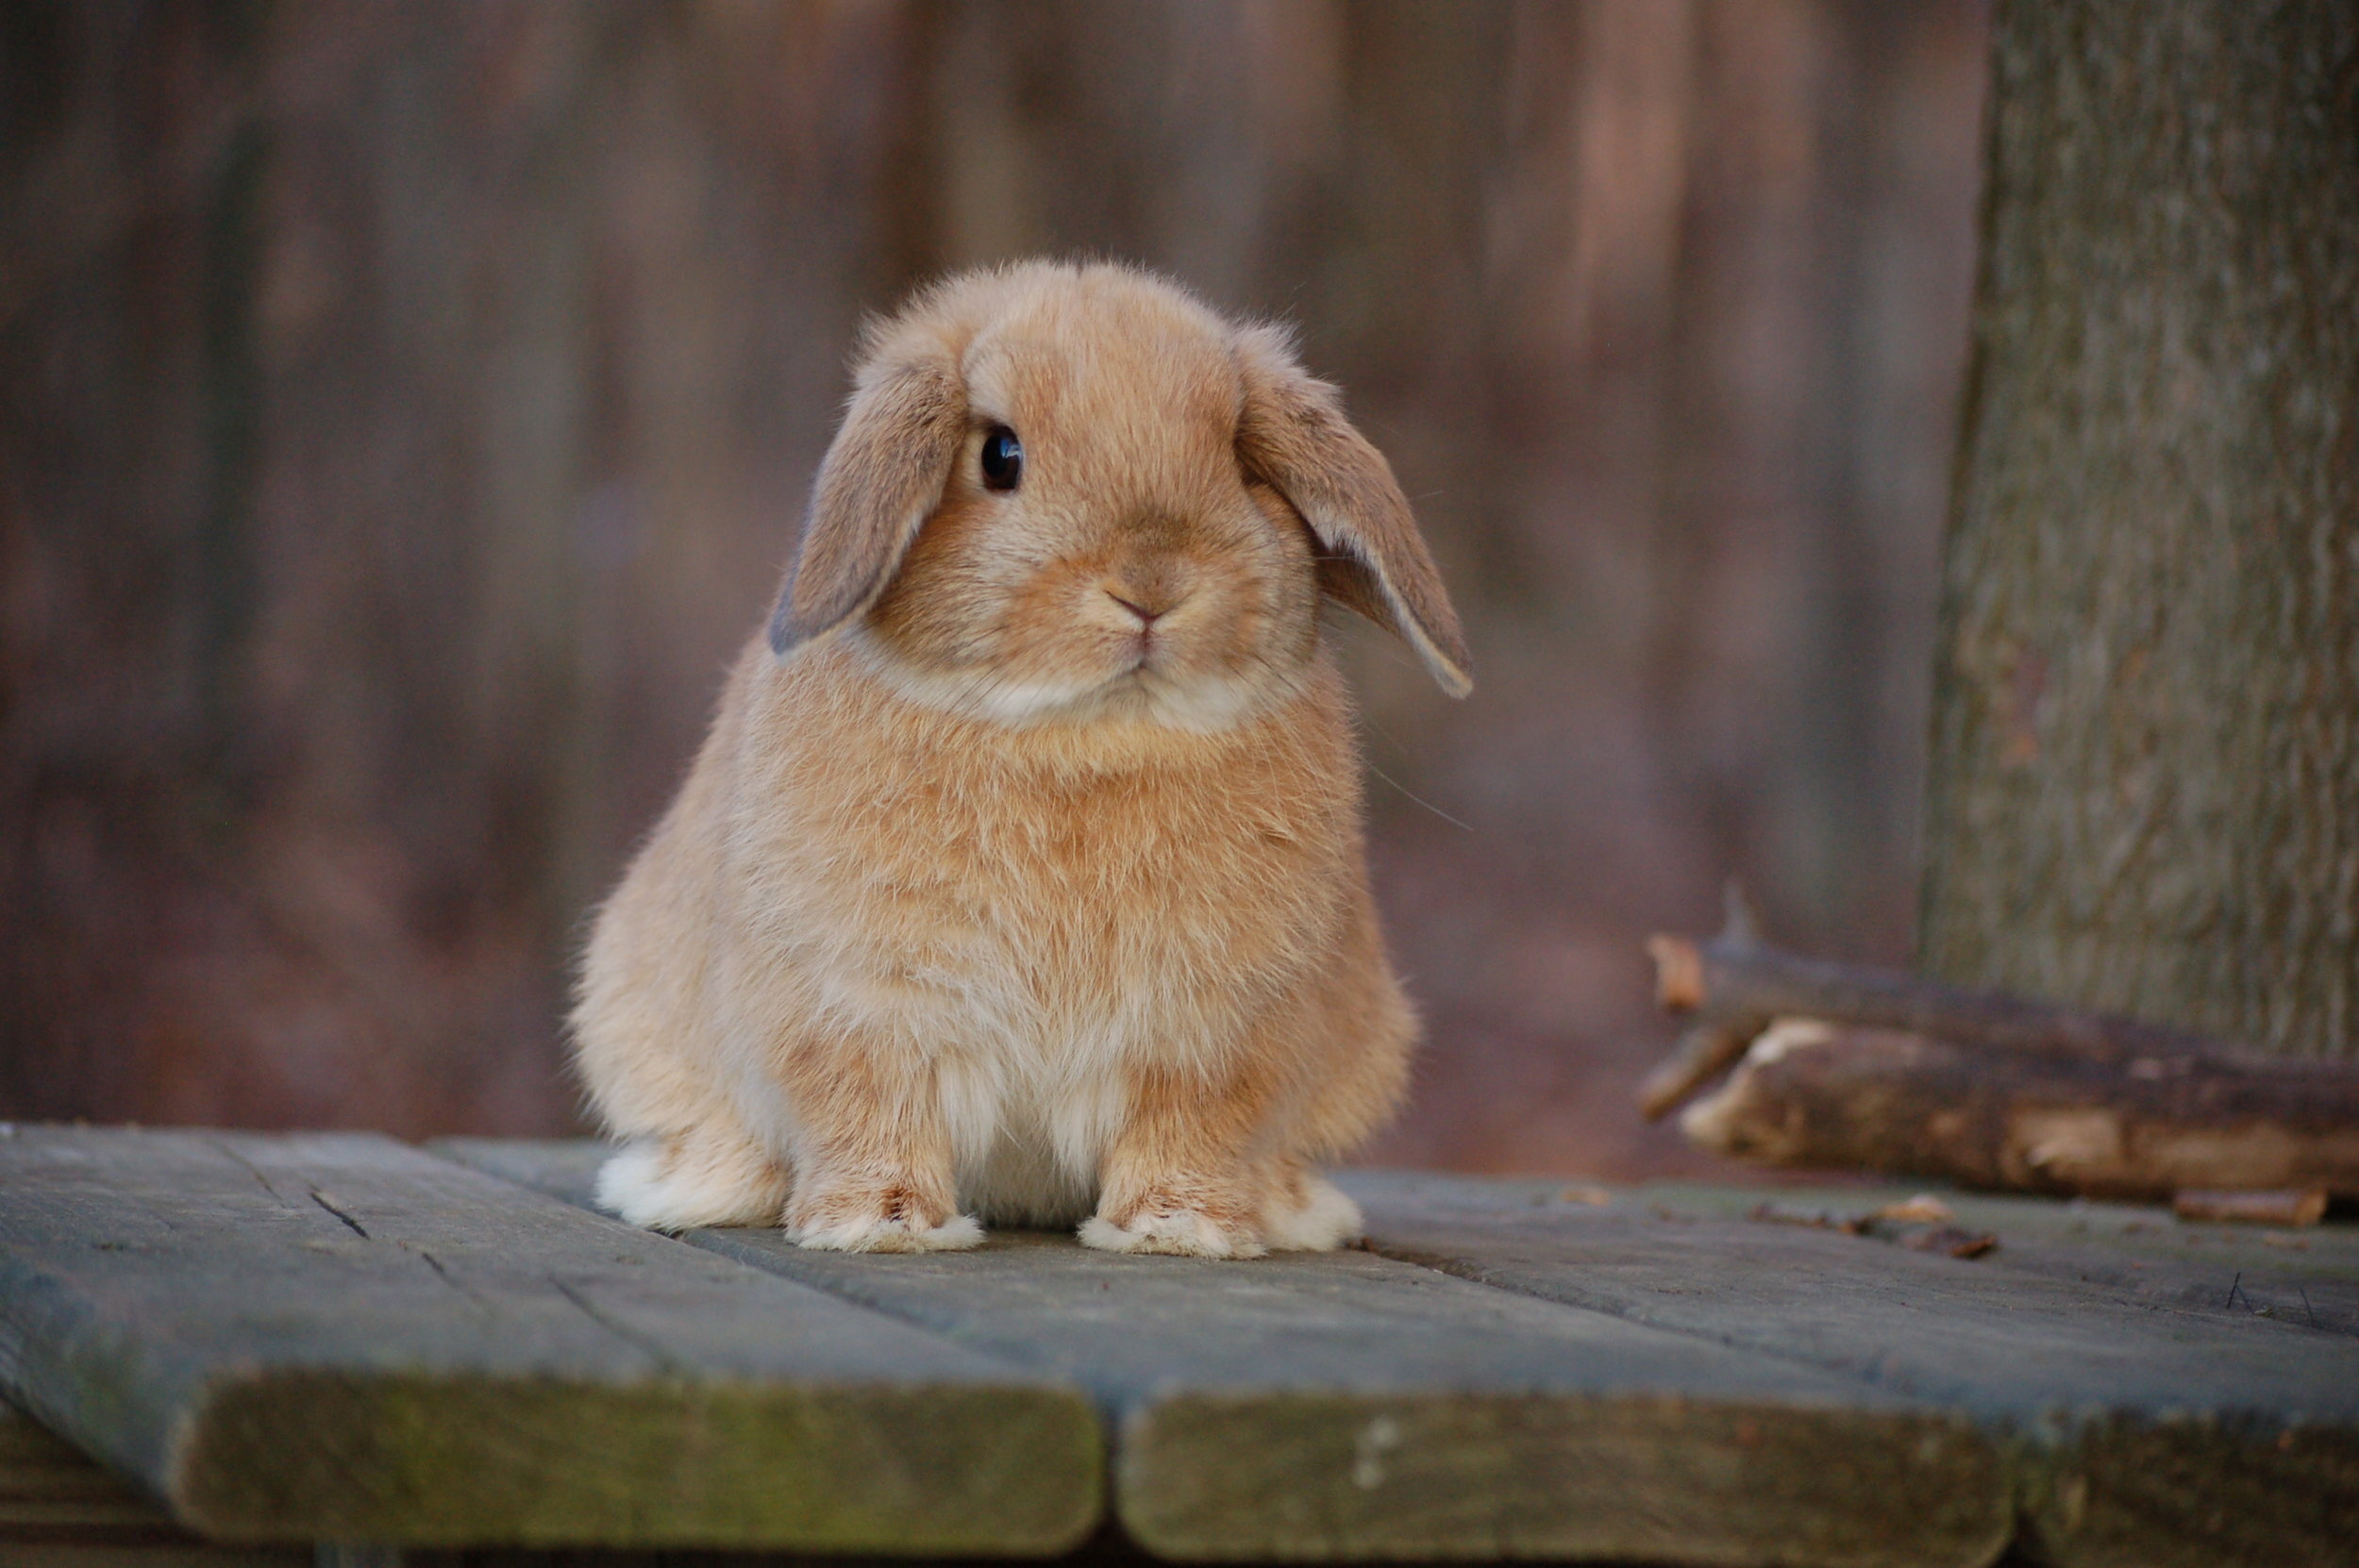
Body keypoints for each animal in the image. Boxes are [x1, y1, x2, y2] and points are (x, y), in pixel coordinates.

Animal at [571, 260, 1469, 1258]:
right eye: (1000, 455)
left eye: (1241, 459)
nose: (1151, 585)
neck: (1085, 736)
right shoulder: (862, 1010)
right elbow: (867, 1112)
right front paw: (882, 1226)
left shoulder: (1211, 1035)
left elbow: (1190, 1129)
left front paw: (1177, 1229)